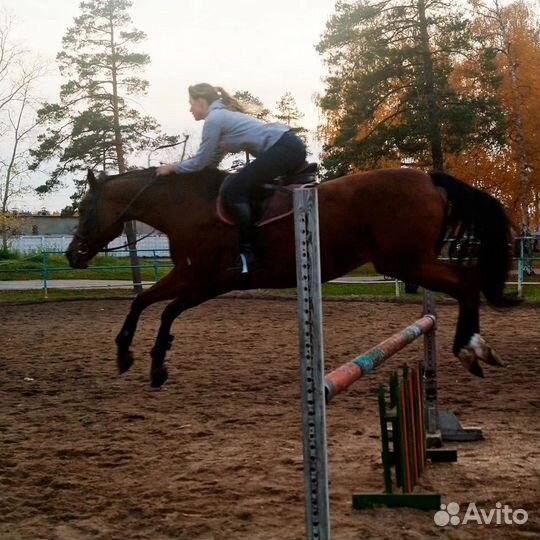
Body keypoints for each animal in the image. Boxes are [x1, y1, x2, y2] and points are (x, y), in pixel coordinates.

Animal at [65, 167, 516, 386]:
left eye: (85, 207)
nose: (72, 255)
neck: (188, 207)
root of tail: (427, 177)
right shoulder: (197, 280)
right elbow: (148, 303)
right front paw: (139, 358)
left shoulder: (204, 281)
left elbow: (160, 308)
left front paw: (143, 358)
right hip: (411, 262)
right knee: (466, 284)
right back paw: (478, 349)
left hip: (407, 262)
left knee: (466, 283)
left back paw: (471, 349)